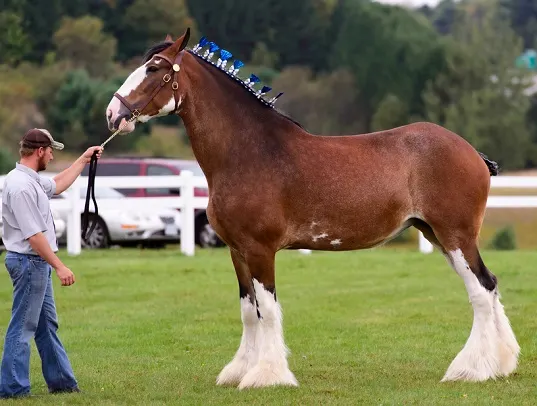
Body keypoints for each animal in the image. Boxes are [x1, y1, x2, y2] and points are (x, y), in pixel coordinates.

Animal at [105, 29, 520, 390]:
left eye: (154, 68)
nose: (112, 114)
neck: (247, 153)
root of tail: (472, 152)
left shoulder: (260, 250)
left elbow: (268, 309)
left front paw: (267, 376)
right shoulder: (237, 251)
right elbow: (248, 310)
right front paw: (239, 370)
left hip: (455, 236)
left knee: (481, 291)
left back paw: (471, 370)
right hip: (437, 235)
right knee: (490, 284)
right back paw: (501, 363)